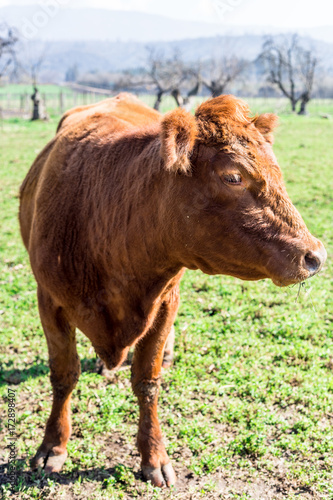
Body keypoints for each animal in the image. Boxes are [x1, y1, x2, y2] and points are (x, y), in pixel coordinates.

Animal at [18, 92, 324, 486]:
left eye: (278, 172)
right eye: (233, 176)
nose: (315, 255)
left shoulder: (164, 303)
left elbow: (147, 382)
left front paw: (154, 456)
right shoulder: (49, 300)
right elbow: (63, 374)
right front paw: (52, 446)